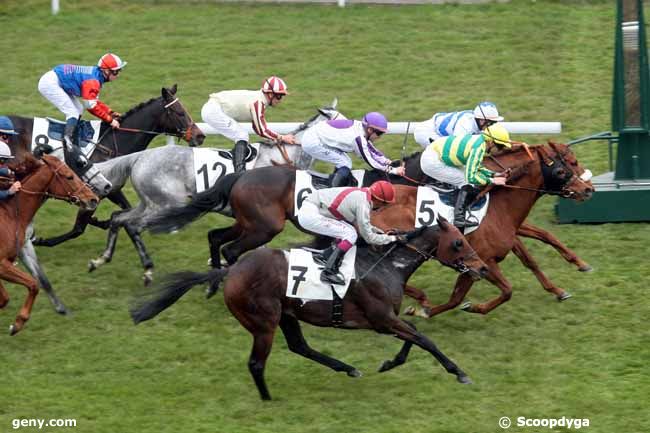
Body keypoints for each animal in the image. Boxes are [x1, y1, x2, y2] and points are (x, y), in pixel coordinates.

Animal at [0, 154, 97, 334]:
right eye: (69, 176)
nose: (94, 199)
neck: (11, 214)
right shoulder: (2, 264)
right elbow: (33, 284)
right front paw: (17, 323)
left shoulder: (20, 251)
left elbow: (39, 281)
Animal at [130, 214, 486, 400]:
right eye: (458, 242)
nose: (481, 268)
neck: (386, 265)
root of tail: (230, 271)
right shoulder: (381, 319)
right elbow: (423, 338)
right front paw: (460, 373)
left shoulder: (387, 320)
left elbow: (413, 336)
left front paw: (389, 363)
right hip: (264, 322)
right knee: (257, 363)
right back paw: (268, 400)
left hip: (287, 315)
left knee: (300, 346)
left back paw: (348, 368)